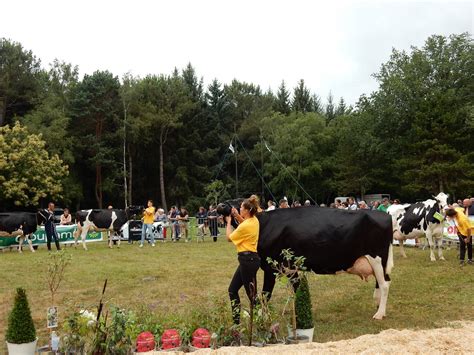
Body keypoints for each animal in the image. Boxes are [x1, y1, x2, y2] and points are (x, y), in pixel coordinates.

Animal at [218, 202, 392, 322]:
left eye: (237, 202)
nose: (220, 205)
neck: (264, 225)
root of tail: (385, 215)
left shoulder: (271, 267)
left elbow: (265, 294)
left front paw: (263, 317)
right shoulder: (290, 268)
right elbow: (297, 289)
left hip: (377, 258)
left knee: (384, 284)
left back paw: (379, 314)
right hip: (379, 263)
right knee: (383, 282)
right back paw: (378, 306)